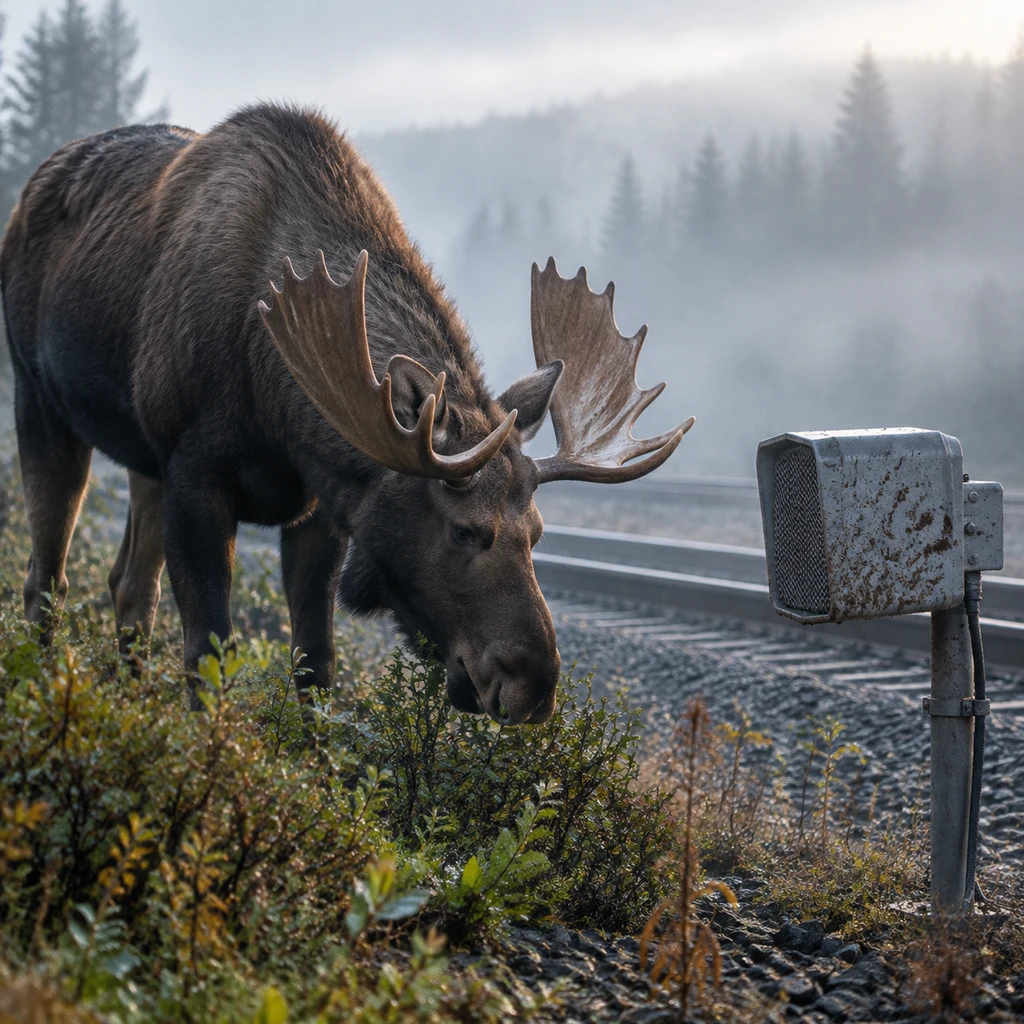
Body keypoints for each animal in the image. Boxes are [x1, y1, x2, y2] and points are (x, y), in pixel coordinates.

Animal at [0, 104, 693, 724]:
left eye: (540, 533)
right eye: (464, 530)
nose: (534, 686)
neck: (275, 394)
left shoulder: (323, 506)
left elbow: (316, 661)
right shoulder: (196, 471)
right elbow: (207, 649)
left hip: (146, 460)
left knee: (128, 587)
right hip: (40, 400)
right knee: (47, 577)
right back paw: (43, 690)